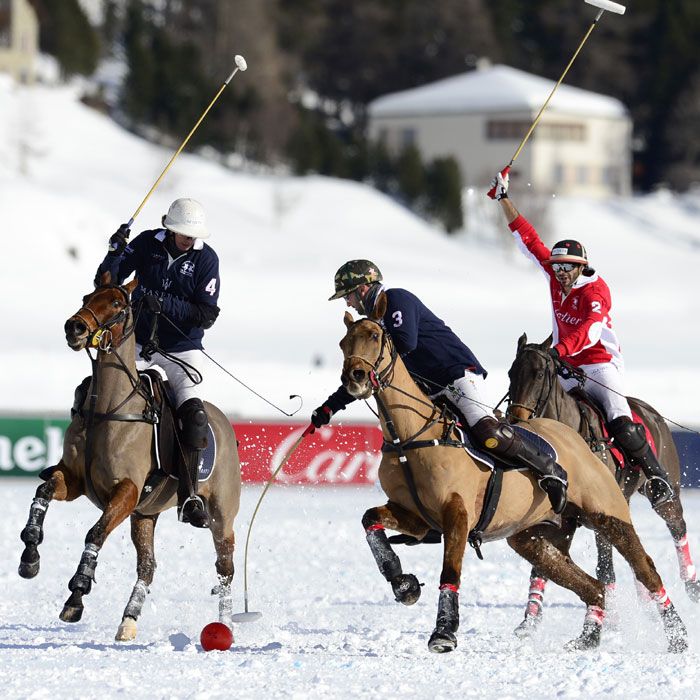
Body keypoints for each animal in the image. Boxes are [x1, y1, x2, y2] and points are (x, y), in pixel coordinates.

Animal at [17, 274, 242, 640]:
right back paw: (128, 620)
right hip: (145, 515)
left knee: (225, 567)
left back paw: (223, 626)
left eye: (117, 304)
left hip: (221, 514)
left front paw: (76, 596)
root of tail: (224, 423)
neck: (108, 409)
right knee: (148, 566)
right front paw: (30, 556)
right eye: (87, 297)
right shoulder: (76, 480)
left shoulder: (127, 490)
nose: (74, 327)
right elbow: (44, 491)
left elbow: (95, 533)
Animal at [506, 334, 696, 636]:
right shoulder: (563, 517)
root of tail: (650, 412)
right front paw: (529, 622)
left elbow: (604, 567)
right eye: (511, 373)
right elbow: (543, 566)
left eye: (539, 374)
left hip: (665, 489)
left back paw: (691, 584)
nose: (516, 420)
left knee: (676, 524)